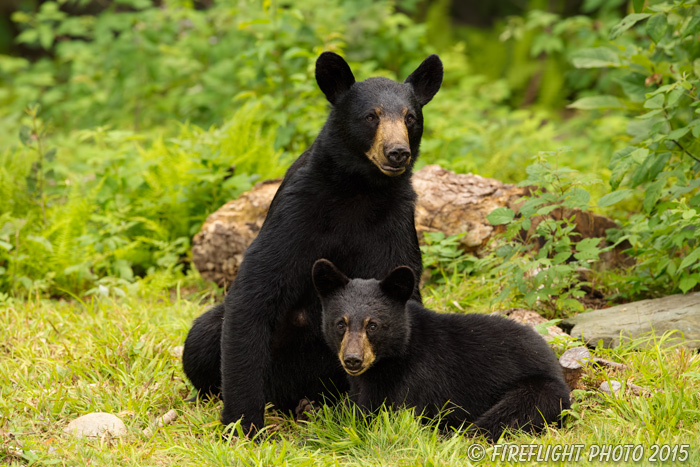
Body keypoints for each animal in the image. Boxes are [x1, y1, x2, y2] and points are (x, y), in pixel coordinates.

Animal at [180, 51, 442, 436]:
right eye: (371, 116)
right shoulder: (298, 213)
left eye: (411, 117)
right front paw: (243, 423)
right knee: (203, 335)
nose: (397, 153)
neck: (359, 190)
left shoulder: (395, 222)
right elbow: (255, 292)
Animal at [314, 260, 572, 442]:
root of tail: (552, 360)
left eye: (373, 325)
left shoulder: (417, 378)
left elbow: (389, 414)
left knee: (511, 414)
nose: (353, 360)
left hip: (541, 389)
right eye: (341, 324)